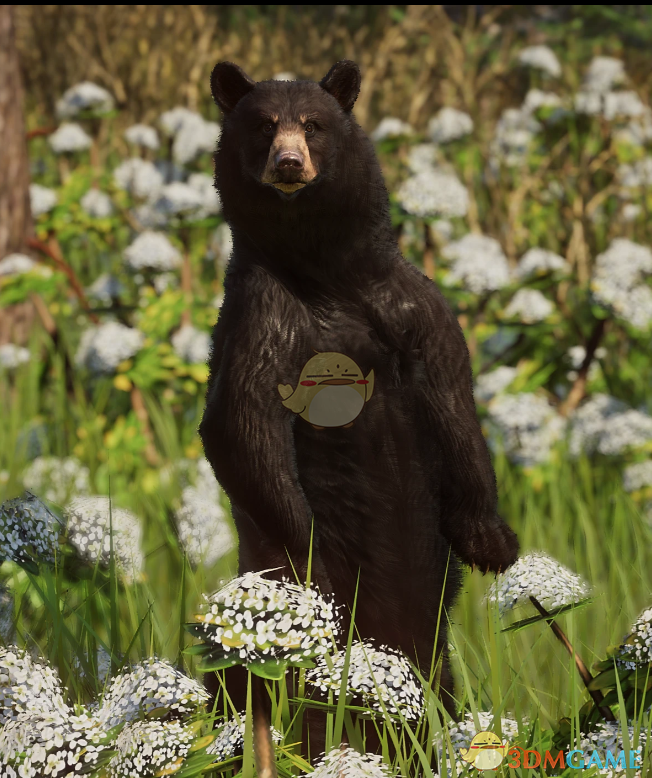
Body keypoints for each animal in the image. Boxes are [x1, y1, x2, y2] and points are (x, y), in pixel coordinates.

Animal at [199, 59, 519, 755]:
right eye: (264, 125)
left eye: (314, 124)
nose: (289, 162)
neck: (326, 274)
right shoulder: (262, 312)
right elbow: (240, 426)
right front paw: (309, 557)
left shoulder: (409, 302)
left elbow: (453, 401)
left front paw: (491, 540)